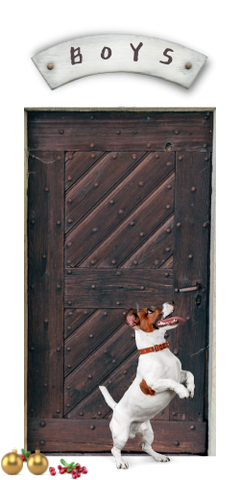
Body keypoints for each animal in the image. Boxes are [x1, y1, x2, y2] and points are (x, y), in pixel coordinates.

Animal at [99, 302, 195, 470]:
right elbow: (171, 382)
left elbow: (190, 374)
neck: (158, 350)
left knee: (145, 446)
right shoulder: (152, 384)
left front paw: (190, 388)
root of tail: (116, 407)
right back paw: (121, 463)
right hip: (121, 435)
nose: (171, 302)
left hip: (149, 432)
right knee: (114, 449)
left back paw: (159, 457)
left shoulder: (179, 374)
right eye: (150, 311)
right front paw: (182, 391)